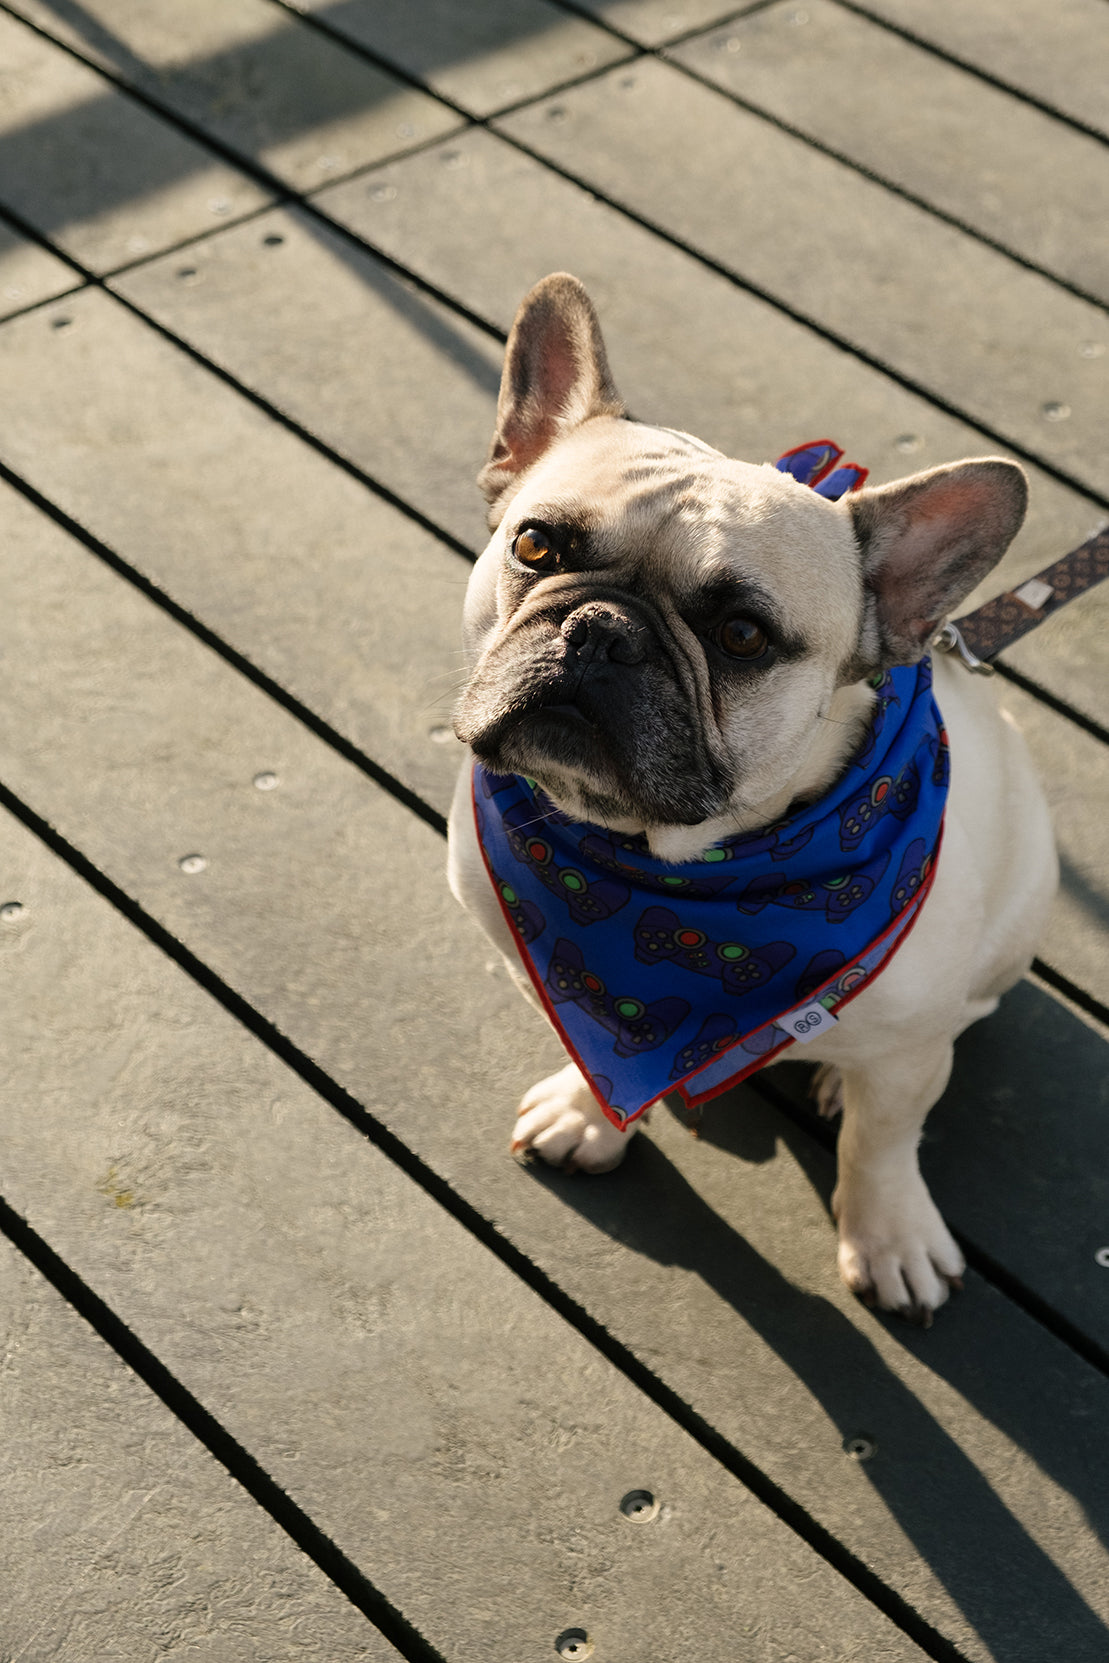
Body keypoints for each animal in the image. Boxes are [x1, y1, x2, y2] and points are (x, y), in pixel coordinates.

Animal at [445, 272, 1057, 1317]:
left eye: (741, 637)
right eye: (534, 545)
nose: (601, 630)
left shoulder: (908, 1053)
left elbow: (883, 1139)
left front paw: (887, 1234)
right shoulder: (546, 969)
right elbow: (587, 1043)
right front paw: (585, 1111)